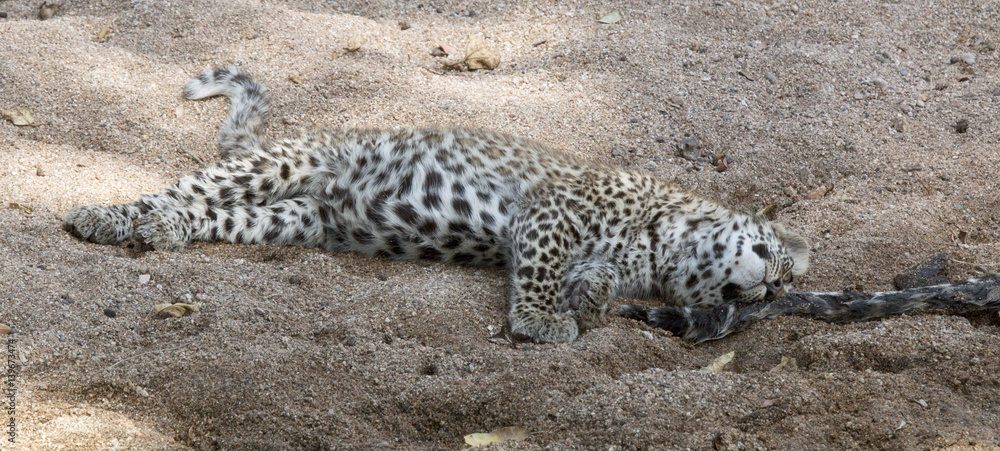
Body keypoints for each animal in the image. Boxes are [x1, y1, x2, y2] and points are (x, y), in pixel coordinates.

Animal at [63, 66, 811, 343]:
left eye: (774, 294)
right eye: (772, 261)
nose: (765, 288)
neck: (665, 245)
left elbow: (586, 278)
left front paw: (590, 301)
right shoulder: (552, 208)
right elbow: (539, 276)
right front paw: (539, 323)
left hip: (294, 218)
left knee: (209, 215)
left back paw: (162, 230)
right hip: (286, 163)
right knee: (179, 188)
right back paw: (104, 216)